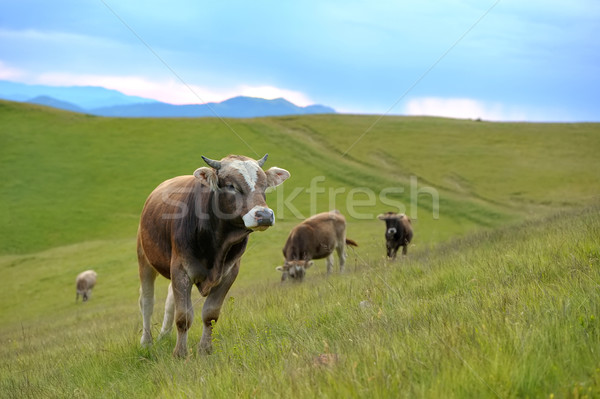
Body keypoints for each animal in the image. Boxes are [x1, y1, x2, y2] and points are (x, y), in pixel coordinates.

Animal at [139, 155, 292, 358]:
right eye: (231, 186)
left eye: (265, 185)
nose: (264, 215)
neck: (216, 243)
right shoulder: (181, 269)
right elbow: (183, 317)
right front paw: (180, 353)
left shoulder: (229, 272)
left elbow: (210, 314)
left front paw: (205, 350)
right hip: (144, 258)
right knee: (147, 302)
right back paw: (146, 342)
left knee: (170, 300)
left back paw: (164, 335)